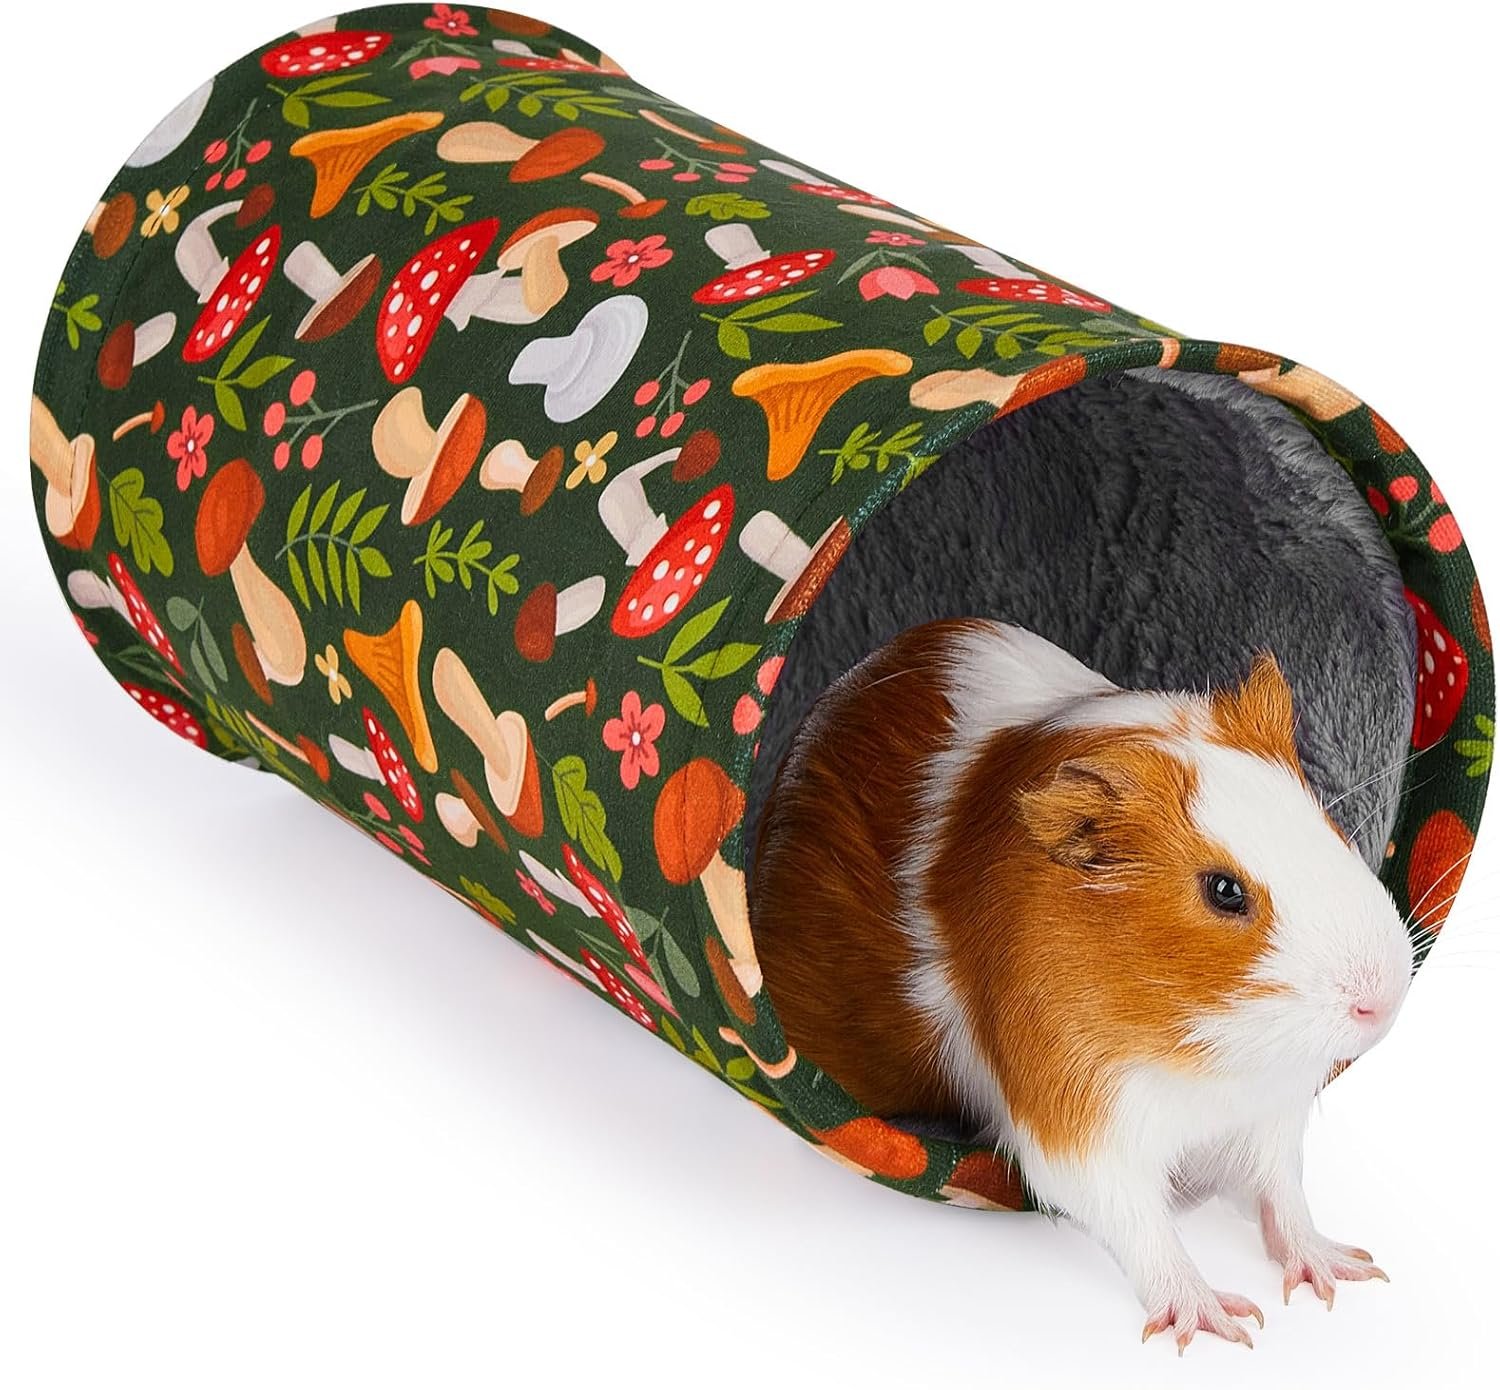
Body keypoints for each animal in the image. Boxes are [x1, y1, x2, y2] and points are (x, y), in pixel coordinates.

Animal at [752, 619, 1412, 1351]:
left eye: (1322, 823)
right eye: (1224, 891)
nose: (1381, 998)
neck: (1195, 1052)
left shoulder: (1267, 1112)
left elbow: (1282, 1194)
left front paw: (1343, 1271)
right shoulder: (1077, 1118)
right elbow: (1141, 1223)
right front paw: (1220, 1323)